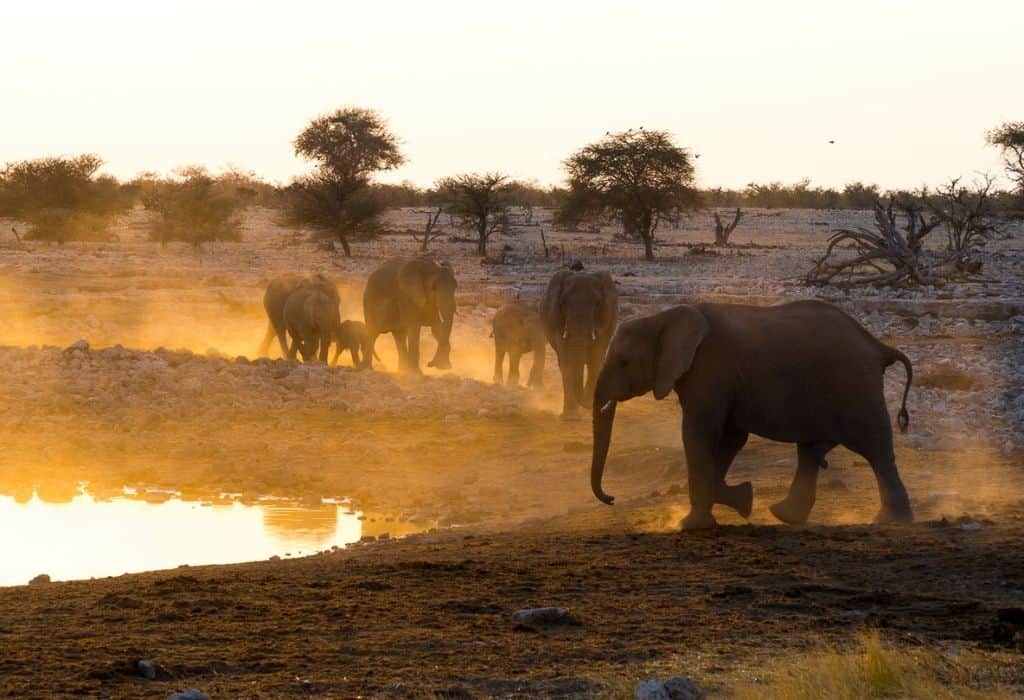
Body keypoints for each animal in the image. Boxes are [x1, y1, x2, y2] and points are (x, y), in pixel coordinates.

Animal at [540, 270, 618, 417]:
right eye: (563, 302)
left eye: (597, 304)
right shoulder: (557, 320)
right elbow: (567, 361)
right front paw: (570, 417)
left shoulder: (606, 320)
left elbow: (596, 359)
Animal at [589, 300, 917, 532]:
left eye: (623, 362)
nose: (611, 498)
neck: (665, 317)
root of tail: (878, 346)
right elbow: (730, 438)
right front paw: (742, 500)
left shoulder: (709, 371)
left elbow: (699, 434)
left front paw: (690, 525)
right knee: (812, 450)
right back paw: (784, 515)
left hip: (856, 387)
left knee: (876, 449)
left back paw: (890, 521)